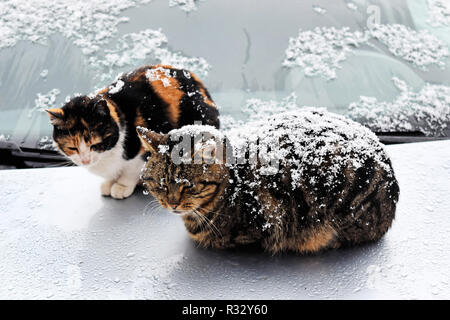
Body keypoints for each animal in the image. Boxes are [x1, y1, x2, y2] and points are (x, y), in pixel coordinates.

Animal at [46, 64, 219, 199]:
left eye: (95, 144)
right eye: (72, 147)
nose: (85, 160)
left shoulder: (144, 150)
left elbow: (131, 171)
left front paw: (121, 187)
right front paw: (109, 183)